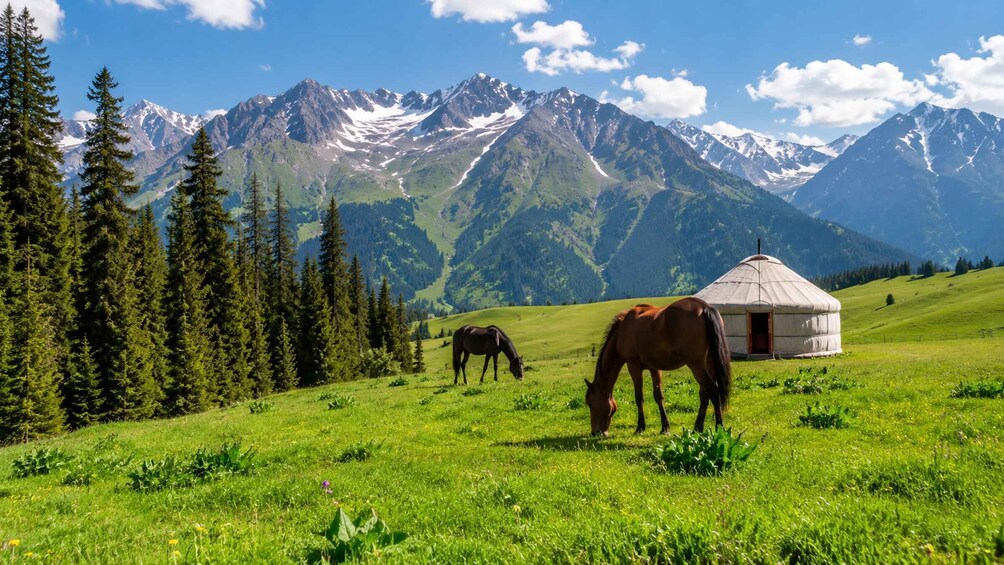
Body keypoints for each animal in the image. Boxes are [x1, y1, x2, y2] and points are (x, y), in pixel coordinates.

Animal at [584, 297, 731, 437]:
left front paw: (640, 427)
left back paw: (719, 427)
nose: (595, 432)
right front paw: (665, 427)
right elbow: (658, 396)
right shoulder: (654, 368)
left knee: (713, 390)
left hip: (696, 365)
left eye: (590, 404)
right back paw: (698, 427)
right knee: (705, 393)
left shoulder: (633, 366)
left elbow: (639, 397)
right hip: (709, 364)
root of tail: (704, 307)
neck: (623, 331)